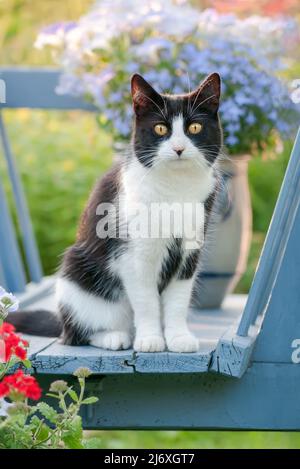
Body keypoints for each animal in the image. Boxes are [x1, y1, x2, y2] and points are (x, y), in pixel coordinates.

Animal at [8, 72, 223, 352]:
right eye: (161, 129)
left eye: (194, 128)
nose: (178, 148)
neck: (175, 187)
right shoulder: (132, 254)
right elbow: (146, 301)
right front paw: (150, 339)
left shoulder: (190, 250)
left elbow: (178, 299)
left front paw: (178, 338)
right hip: (76, 275)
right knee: (76, 334)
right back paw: (115, 337)